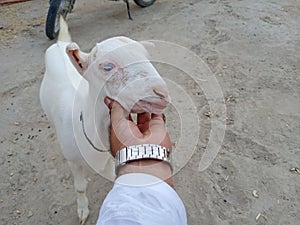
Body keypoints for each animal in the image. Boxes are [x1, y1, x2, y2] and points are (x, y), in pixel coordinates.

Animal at [39, 17, 170, 223]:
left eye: (147, 56)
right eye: (107, 66)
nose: (162, 93)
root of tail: (59, 44)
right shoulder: (72, 160)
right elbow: (80, 187)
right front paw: (82, 211)